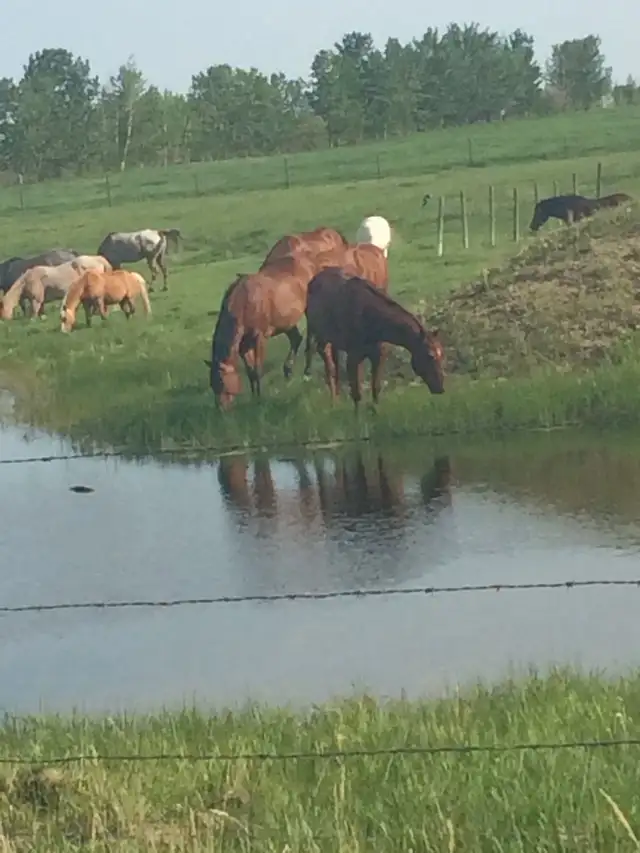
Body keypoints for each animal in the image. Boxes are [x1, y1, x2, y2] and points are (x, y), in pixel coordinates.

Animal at [204, 254, 318, 409]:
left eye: (222, 382)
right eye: (211, 383)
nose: (221, 409)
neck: (244, 302)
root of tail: (309, 264)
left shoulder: (260, 337)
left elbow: (258, 370)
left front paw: (260, 399)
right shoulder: (243, 345)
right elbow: (250, 371)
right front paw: (254, 397)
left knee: (310, 341)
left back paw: (307, 373)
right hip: (286, 322)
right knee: (296, 338)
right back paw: (288, 372)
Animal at [305, 268, 444, 408]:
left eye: (441, 355)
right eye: (430, 355)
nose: (440, 387)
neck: (375, 323)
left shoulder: (378, 355)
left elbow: (375, 389)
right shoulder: (353, 356)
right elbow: (356, 394)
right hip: (318, 334)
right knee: (326, 361)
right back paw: (333, 401)